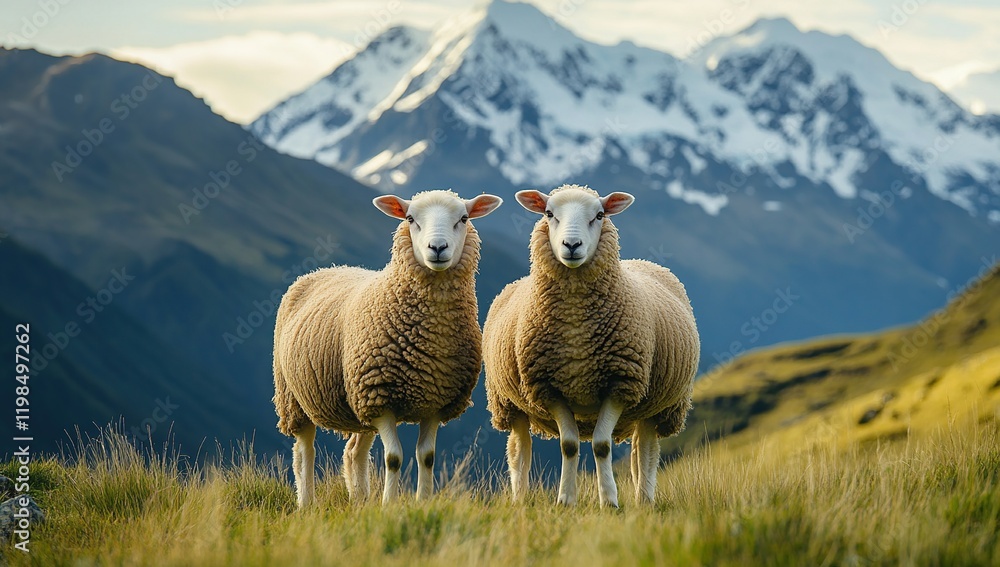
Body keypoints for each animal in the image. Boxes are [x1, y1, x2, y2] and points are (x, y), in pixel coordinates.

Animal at [272, 190, 503, 507]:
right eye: (410, 218)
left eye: (464, 218)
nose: (438, 247)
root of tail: (326, 269)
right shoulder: (381, 400)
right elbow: (393, 458)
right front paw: (388, 505)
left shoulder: (434, 403)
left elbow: (427, 457)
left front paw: (422, 502)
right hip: (294, 397)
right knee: (304, 452)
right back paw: (307, 503)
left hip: (358, 403)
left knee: (353, 452)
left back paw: (359, 501)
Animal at [483, 184, 700, 508]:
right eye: (549, 213)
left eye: (599, 215)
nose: (572, 245)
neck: (577, 333)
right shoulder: (549, 388)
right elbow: (569, 445)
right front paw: (565, 500)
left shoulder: (620, 384)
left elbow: (601, 445)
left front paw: (609, 500)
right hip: (509, 403)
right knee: (520, 449)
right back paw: (519, 499)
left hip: (656, 403)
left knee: (646, 451)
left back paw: (644, 500)